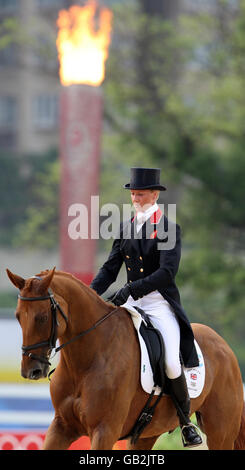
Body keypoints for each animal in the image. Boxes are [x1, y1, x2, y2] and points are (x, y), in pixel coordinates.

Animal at [5, 266, 245, 450]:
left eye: (42, 317)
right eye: (18, 316)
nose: (31, 370)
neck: (85, 361)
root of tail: (224, 346)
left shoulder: (105, 431)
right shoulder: (61, 427)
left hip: (221, 432)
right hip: (146, 435)